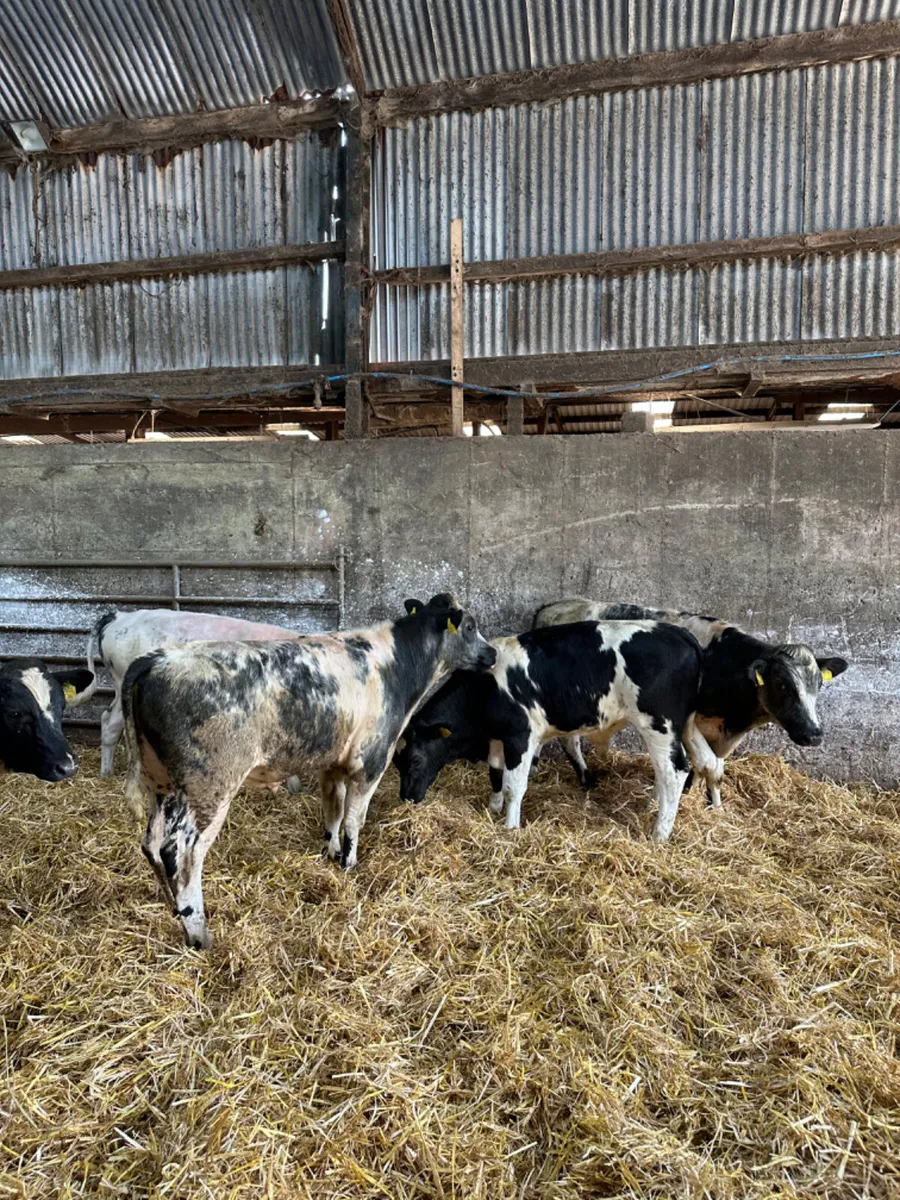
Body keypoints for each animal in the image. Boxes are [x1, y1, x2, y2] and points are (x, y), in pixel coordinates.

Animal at [123, 600, 496, 949]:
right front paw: (349, 863)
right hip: (210, 787)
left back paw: (171, 904)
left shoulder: (334, 763)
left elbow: (333, 811)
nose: (492, 653)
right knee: (181, 854)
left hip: (160, 779)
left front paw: (331, 852)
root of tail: (153, 661)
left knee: (152, 844)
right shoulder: (371, 762)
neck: (396, 665)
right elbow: (353, 820)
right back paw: (197, 933)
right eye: (470, 626)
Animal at [394, 619, 704, 842]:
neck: (484, 689)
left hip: (658, 724)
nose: (407, 798)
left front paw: (510, 826)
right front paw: (493, 808)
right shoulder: (498, 737)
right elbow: (495, 774)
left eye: (415, 760)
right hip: (684, 728)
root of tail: (676, 631)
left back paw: (659, 834)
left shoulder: (521, 735)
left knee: (675, 771)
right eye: (396, 764)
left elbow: (514, 786)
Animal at [532, 599, 849, 807]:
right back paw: (585, 779)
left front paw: (708, 801)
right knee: (569, 741)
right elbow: (709, 764)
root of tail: (552, 606)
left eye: (819, 684)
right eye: (783, 684)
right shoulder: (687, 722)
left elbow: (712, 767)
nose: (814, 734)